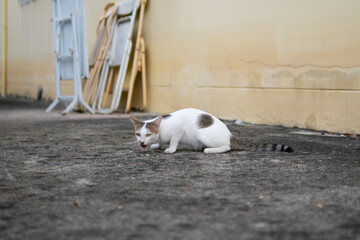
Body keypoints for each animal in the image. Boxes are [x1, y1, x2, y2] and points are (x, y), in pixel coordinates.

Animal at [131, 108, 294, 154]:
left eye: (148, 134)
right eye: (138, 134)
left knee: (227, 147)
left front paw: (170, 149)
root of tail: (229, 133)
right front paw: (157, 145)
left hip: (203, 134)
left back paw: (209, 150)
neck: (163, 127)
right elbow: (161, 142)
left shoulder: (178, 129)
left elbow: (173, 141)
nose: (142, 142)